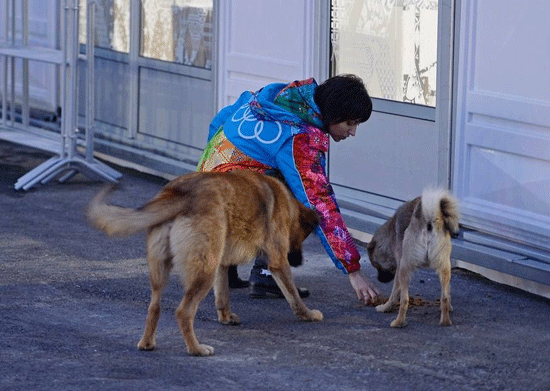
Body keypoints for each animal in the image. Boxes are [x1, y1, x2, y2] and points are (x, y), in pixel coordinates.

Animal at [87, 170, 324, 356]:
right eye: (303, 237)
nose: (299, 261)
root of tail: (181, 193)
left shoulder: (221, 264)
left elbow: (223, 296)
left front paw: (226, 318)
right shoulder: (277, 262)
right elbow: (293, 295)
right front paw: (308, 314)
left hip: (165, 270)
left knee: (154, 306)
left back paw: (147, 343)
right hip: (204, 273)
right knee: (183, 312)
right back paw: (196, 349)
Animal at [370, 188, 462, 330]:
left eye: (376, 266)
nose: (379, 279)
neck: (391, 232)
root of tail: (429, 219)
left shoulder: (399, 269)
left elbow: (394, 294)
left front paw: (386, 307)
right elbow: (448, 295)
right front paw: (450, 308)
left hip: (404, 268)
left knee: (405, 300)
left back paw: (399, 322)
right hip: (444, 267)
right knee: (445, 297)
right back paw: (445, 321)